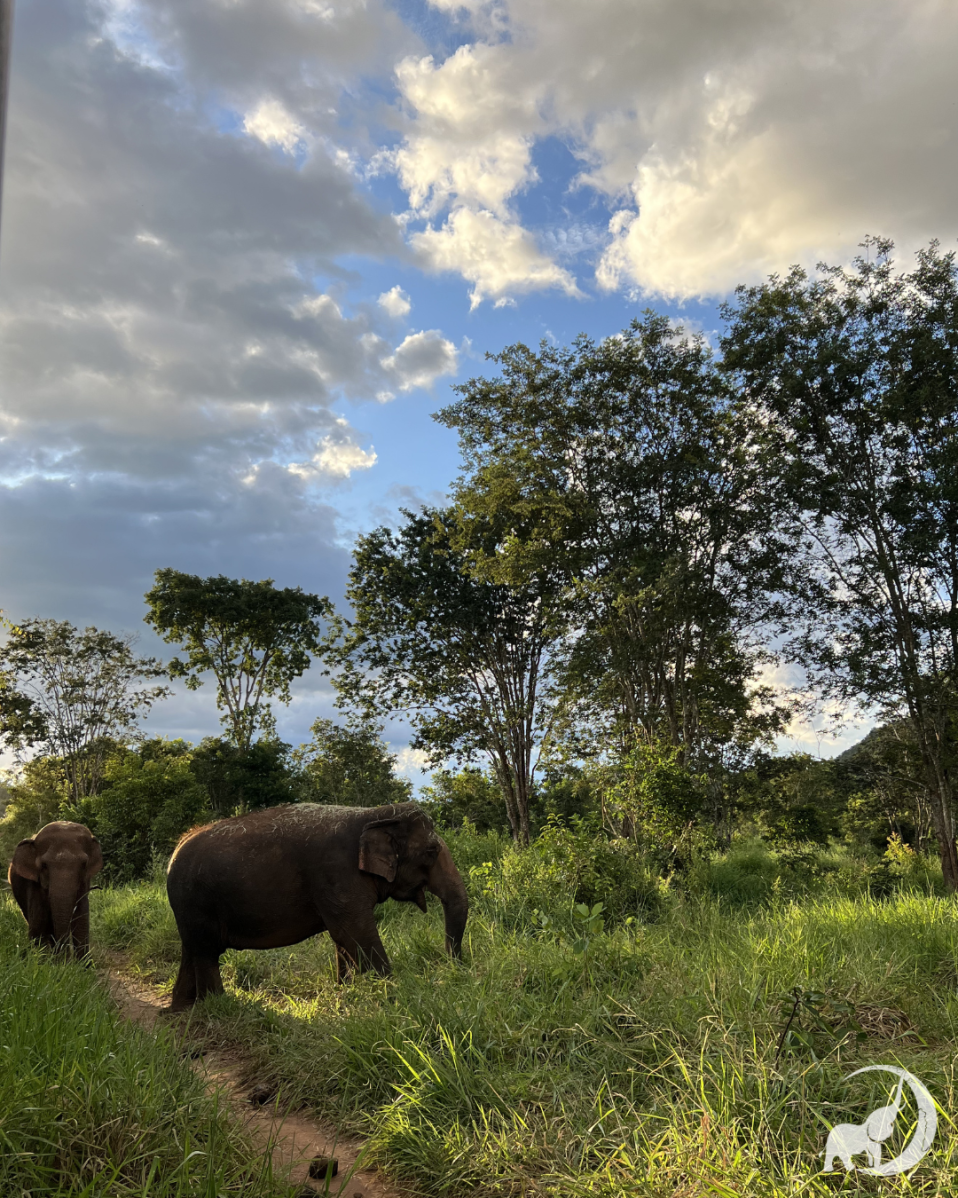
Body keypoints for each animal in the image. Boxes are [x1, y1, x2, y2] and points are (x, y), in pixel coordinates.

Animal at [7, 820, 103, 957]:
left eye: (84, 864)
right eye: (44, 866)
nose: (65, 959)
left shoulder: (85, 882)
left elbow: (81, 920)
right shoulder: (34, 886)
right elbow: (38, 925)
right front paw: (43, 959)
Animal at [165, 801, 469, 1010]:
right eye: (431, 852)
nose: (453, 971)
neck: (373, 814)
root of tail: (176, 848)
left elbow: (343, 938)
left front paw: (347, 991)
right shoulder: (336, 874)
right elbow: (354, 932)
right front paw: (392, 995)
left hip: (188, 907)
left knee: (192, 950)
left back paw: (181, 1009)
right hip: (196, 902)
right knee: (206, 953)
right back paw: (218, 1005)